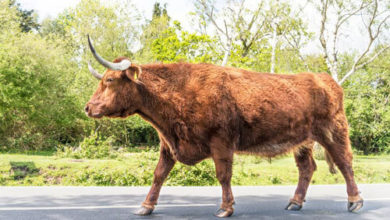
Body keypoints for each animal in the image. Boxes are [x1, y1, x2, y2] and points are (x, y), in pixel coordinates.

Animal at [84, 36, 362, 217]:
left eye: (110, 80)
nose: (88, 107)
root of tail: (324, 78)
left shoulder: (222, 142)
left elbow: (223, 175)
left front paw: (225, 208)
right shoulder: (168, 144)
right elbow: (159, 175)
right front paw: (146, 206)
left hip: (333, 131)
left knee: (345, 162)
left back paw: (355, 201)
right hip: (303, 141)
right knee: (307, 168)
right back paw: (295, 202)